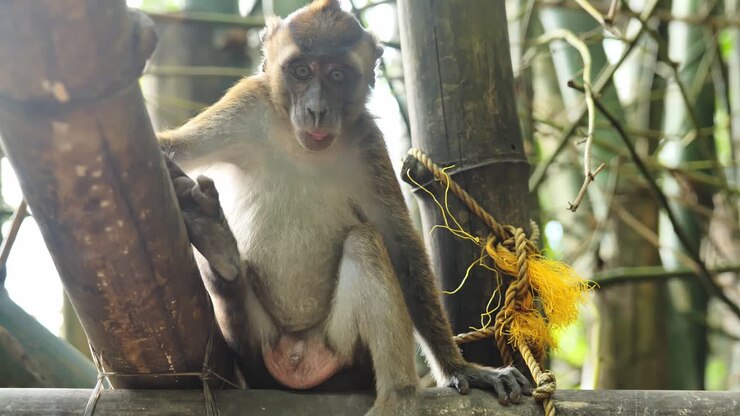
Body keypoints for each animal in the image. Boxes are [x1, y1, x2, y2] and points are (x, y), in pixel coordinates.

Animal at [158, 1, 531, 414]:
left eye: (338, 75)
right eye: (301, 71)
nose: (317, 110)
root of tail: (300, 361)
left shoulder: (367, 141)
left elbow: (401, 249)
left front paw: (459, 368)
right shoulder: (247, 104)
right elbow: (170, 149)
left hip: (343, 355)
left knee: (365, 243)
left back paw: (400, 396)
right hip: (258, 355)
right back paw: (218, 248)